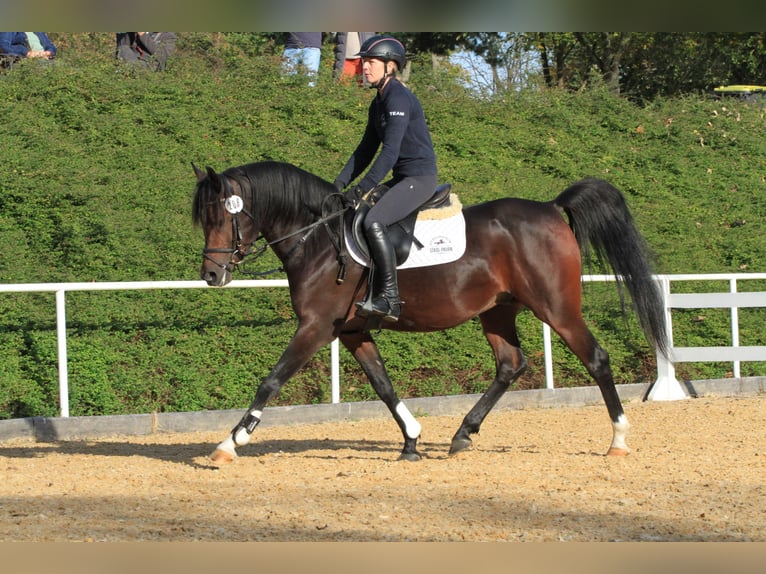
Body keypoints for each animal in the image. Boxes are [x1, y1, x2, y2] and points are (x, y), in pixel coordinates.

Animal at [191, 160, 668, 464]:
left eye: (222, 216)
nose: (211, 274)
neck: (320, 240)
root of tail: (550, 207)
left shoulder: (316, 327)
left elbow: (271, 381)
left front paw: (230, 442)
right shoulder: (352, 331)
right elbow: (383, 385)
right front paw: (411, 441)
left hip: (557, 307)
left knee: (596, 358)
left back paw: (618, 439)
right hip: (498, 312)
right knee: (510, 364)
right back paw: (462, 434)